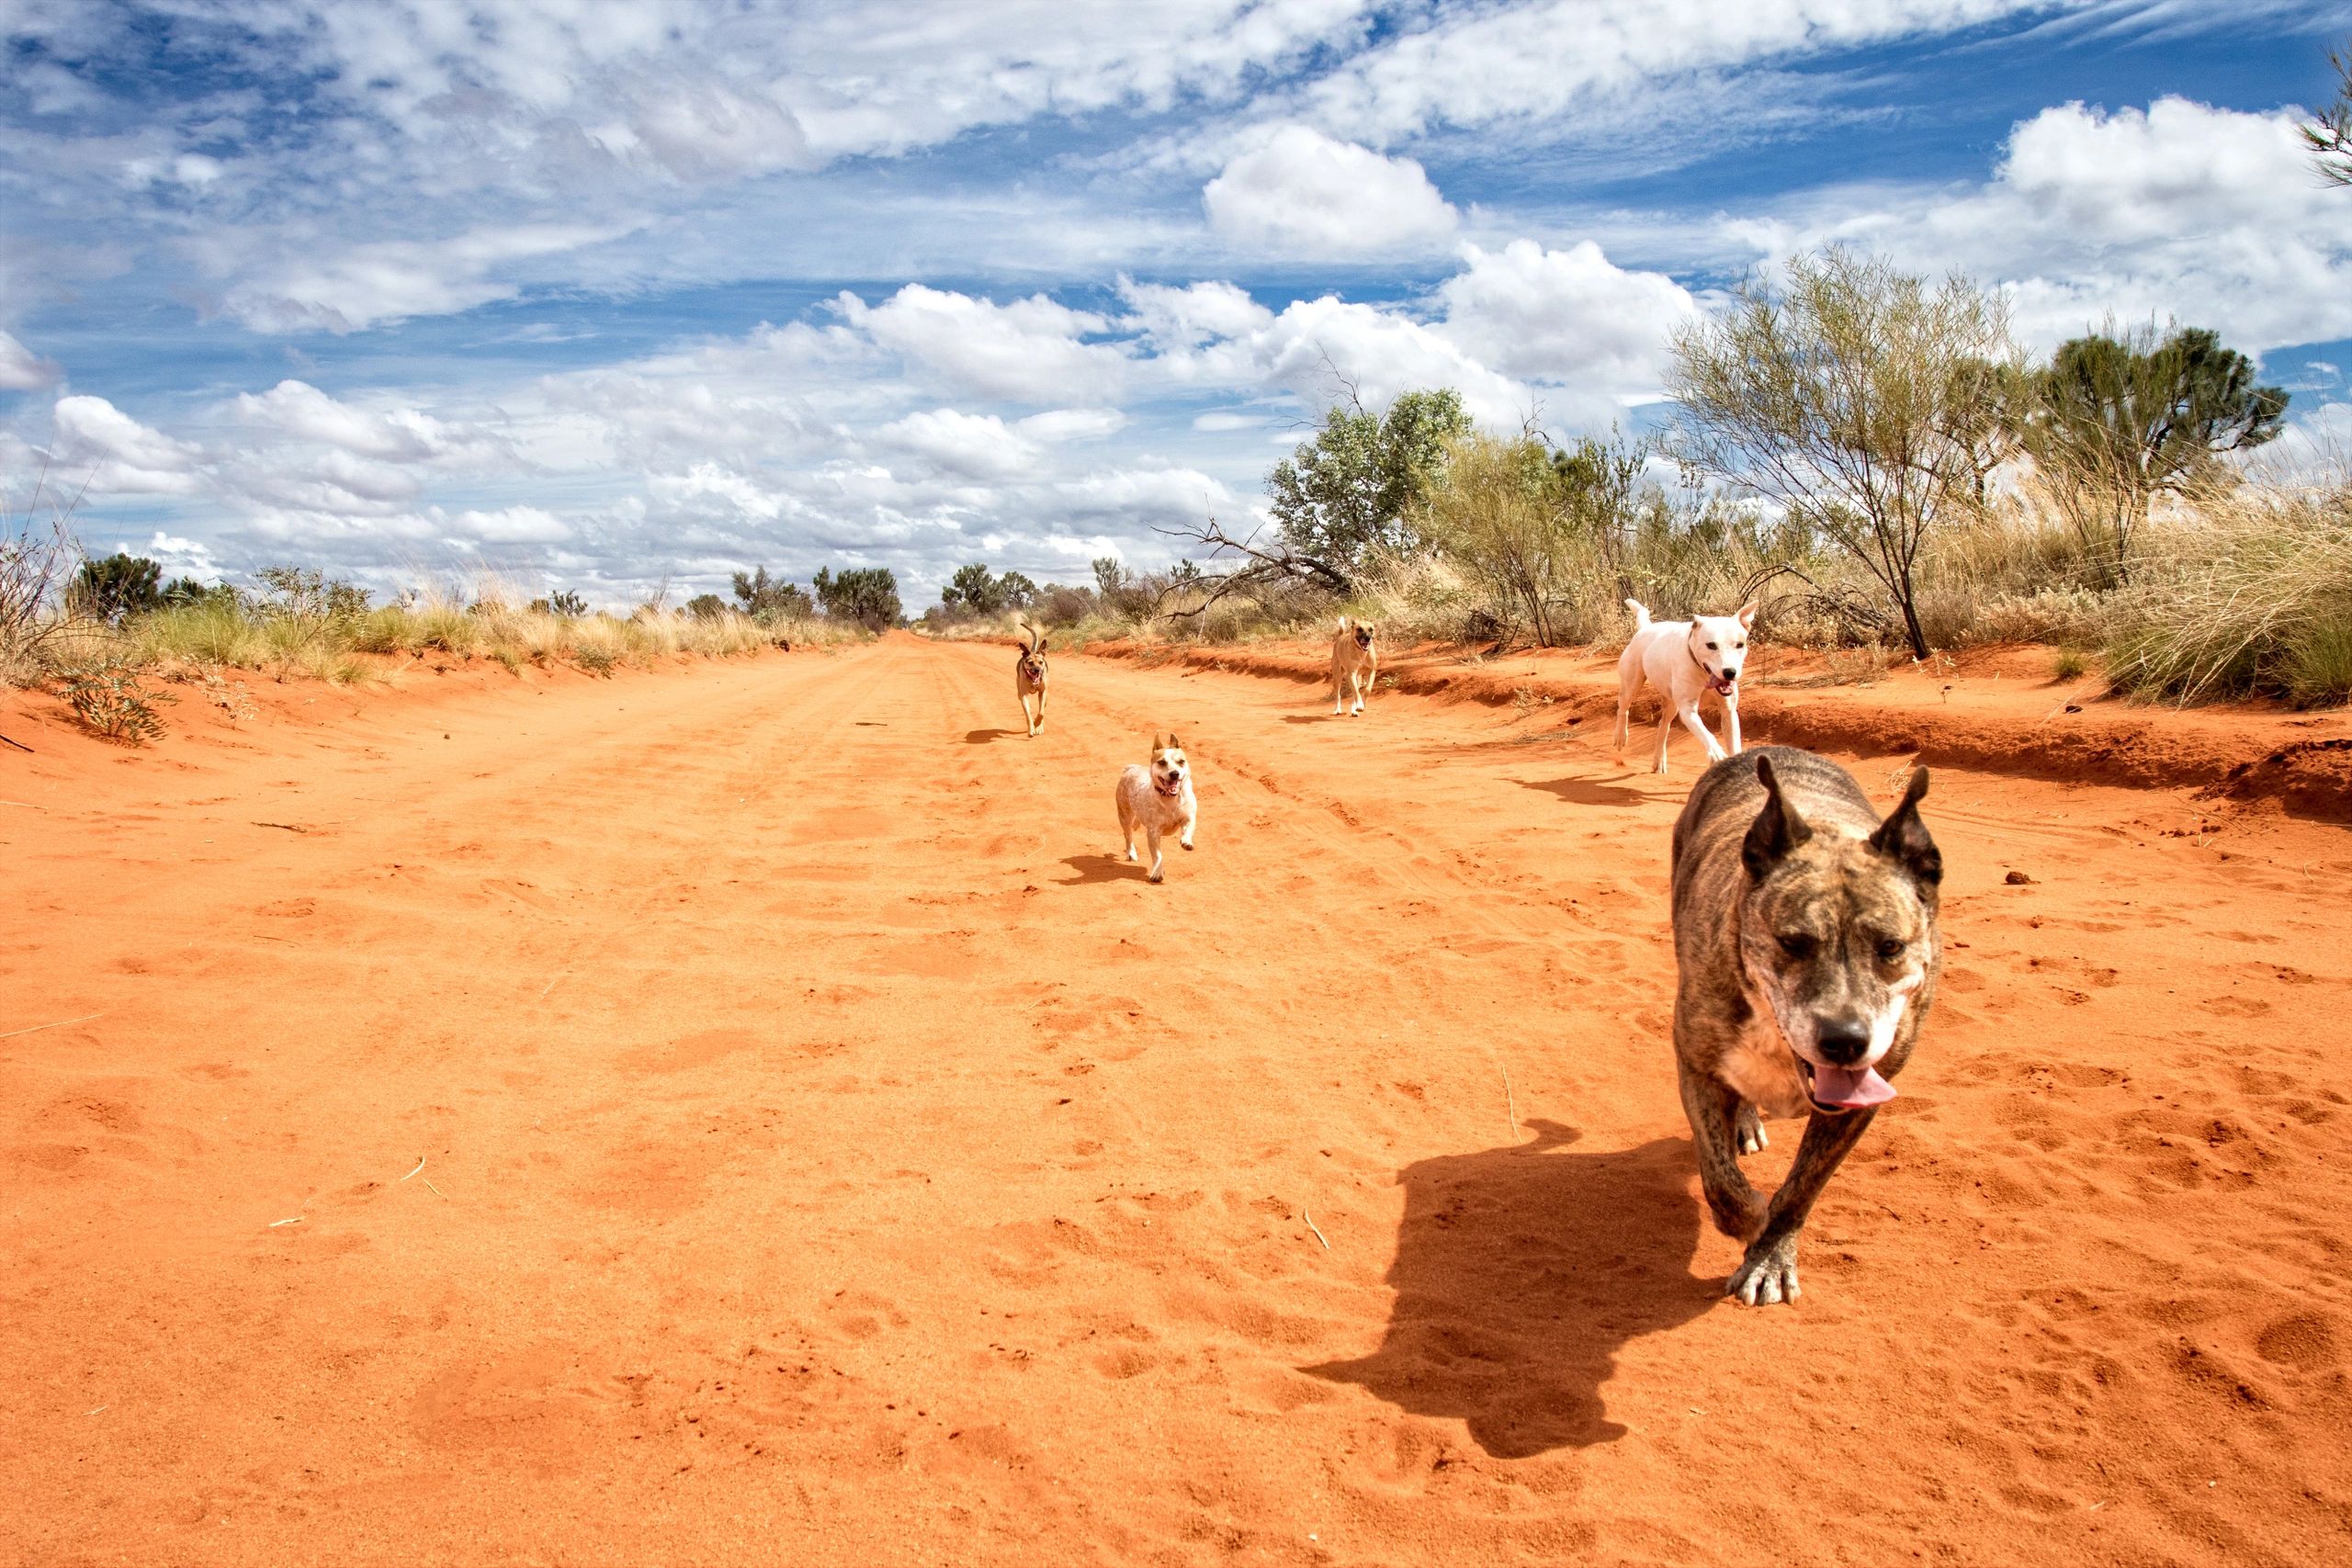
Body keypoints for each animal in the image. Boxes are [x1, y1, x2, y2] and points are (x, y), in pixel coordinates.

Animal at [1011, 615, 1048, 738]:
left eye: (1041, 662)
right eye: (1030, 663)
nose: (1037, 670)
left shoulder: (1043, 692)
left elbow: (1041, 713)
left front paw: (1037, 724)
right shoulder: (1024, 696)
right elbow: (1028, 715)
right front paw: (1032, 727)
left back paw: (1040, 726)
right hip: (1019, 692)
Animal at [1114, 733, 1194, 884]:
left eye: (1181, 761)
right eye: (1162, 762)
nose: (1174, 773)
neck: (1170, 799)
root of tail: (1131, 768)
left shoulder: (1188, 817)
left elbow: (1188, 830)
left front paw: (1186, 842)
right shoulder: (1153, 832)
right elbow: (1157, 855)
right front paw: (1157, 872)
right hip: (1125, 816)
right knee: (1128, 834)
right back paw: (1131, 853)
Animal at [1609, 597, 1758, 775]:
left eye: (1740, 645)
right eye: (1711, 645)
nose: (1730, 672)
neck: (1703, 673)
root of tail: (1646, 628)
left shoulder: (1728, 712)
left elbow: (1734, 743)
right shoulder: (1688, 710)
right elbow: (1706, 733)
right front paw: (1716, 752)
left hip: (1672, 704)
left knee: (1663, 726)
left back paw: (1659, 761)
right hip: (1632, 684)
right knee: (1623, 708)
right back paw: (1620, 737)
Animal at [1674, 742, 1947, 1306]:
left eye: (1891, 947)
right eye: (1792, 943)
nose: (1845, 1041)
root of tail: (1767, 749)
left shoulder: (1862, 1101)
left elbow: (1803, 1187)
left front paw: (1770, 1255)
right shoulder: (1697, 1062)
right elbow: (1718, 1177)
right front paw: (1747, 1218)